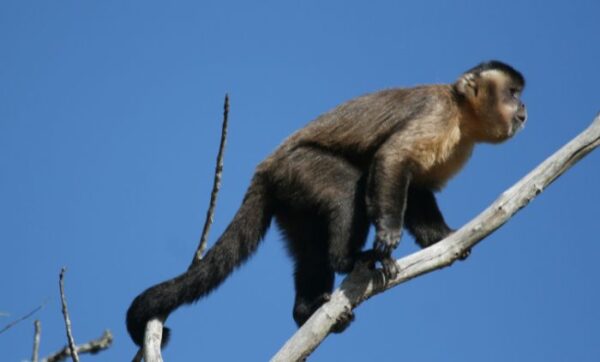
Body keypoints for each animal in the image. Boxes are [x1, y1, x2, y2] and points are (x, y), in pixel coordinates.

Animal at [125, 60, 524, 348]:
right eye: (512, 93)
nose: (523, 108)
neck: (461, 118)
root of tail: (265, 170)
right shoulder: (438, 113)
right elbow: (392, 159)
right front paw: (387, 236)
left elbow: (417, 189)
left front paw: (441, 237)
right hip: (298, 168)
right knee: (349, 188)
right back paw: (349, 260)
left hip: (291, 201)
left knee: (310, 248)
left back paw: (307, 311)